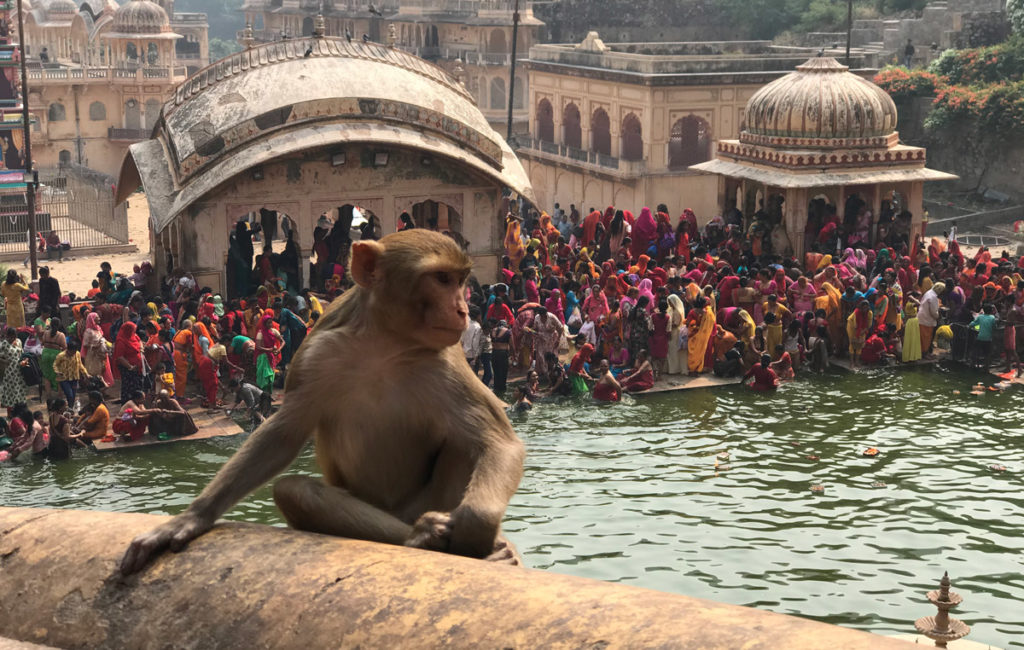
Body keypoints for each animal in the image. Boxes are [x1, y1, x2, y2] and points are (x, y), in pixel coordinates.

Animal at [121, 230, 528, 573]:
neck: (386, 345)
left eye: (460, 280)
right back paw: (423, 535)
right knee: (297, 492)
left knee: (465, 444)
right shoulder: (319, 354)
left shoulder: (445, 362)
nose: (462, 310)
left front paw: (477, 524)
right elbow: (281, 437)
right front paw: (194, 517)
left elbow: (499, 443)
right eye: (442, 279)